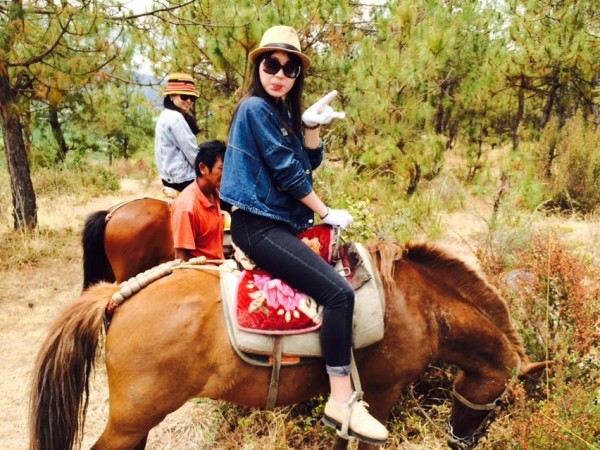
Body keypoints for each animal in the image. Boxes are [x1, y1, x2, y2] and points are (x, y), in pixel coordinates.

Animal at [30, 241, 548, 450]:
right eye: (502, 401)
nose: (460, 441)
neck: (417, 303)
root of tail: (117, 296)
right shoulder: (381, 395)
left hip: (138, 422)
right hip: (131, 419)